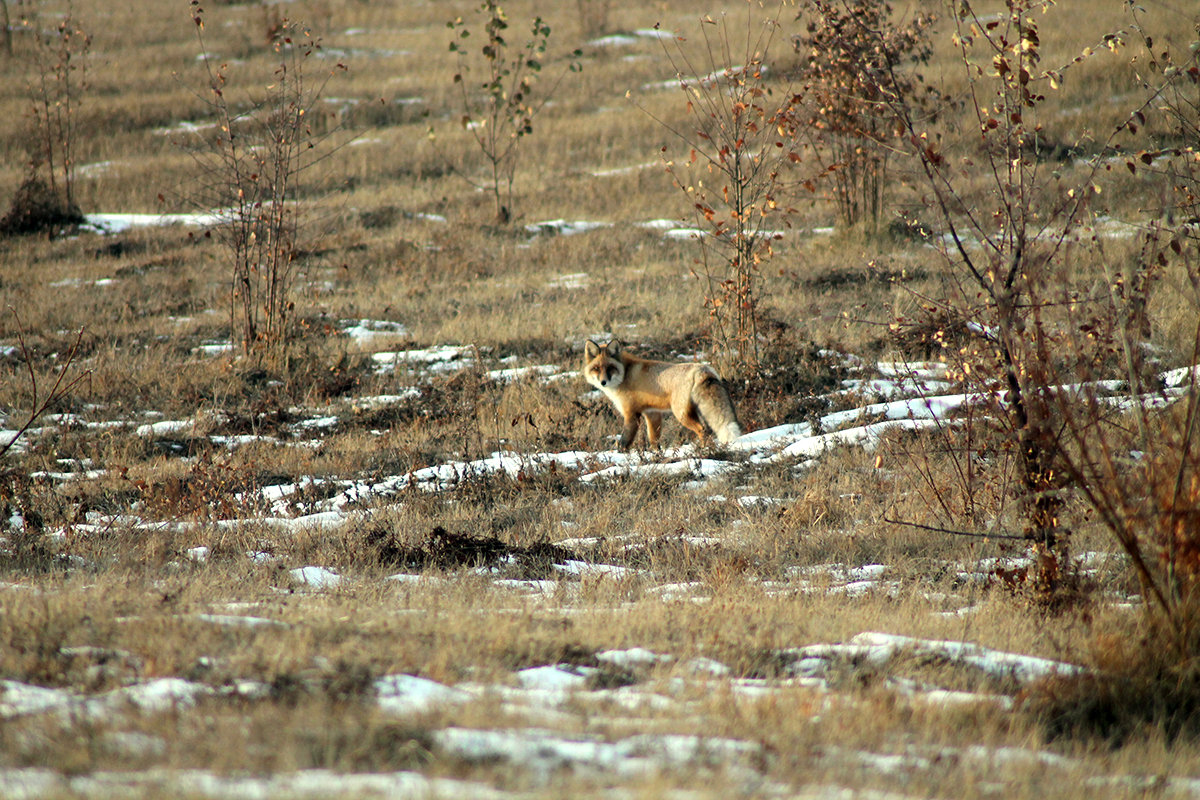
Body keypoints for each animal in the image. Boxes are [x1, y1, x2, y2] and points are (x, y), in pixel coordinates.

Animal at [580, 338, 739, 450]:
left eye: (610, 368)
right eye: (596, 368)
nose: (603, 382)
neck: (625, 374)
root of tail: (702, 369)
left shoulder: (632, 414)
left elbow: (624, 441)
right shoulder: (652, 413)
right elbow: (654, 440)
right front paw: (656, 455)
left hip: (681, 414)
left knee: (703, 430)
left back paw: (704, 449)